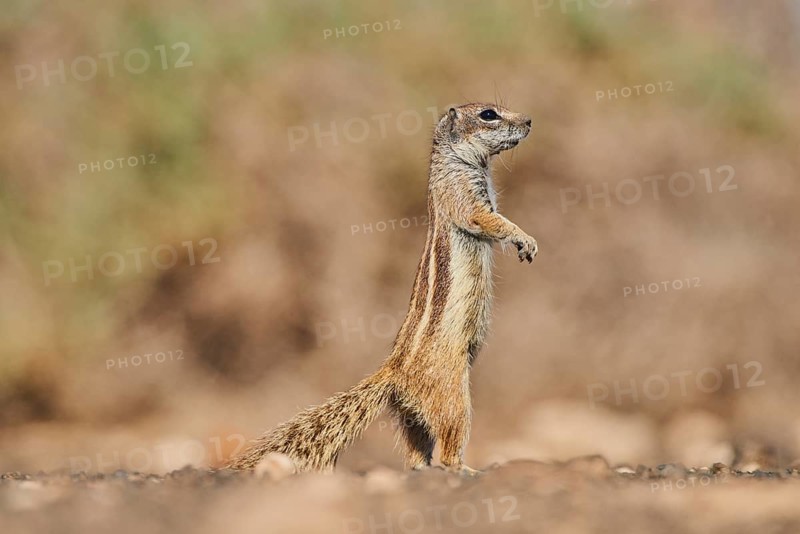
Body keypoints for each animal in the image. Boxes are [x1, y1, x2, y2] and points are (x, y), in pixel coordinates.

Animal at [227, 103, 537, 475]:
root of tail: (394, 372)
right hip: (452, 396)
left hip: (409, 414)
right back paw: (464, 469)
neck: (459, 162)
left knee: (416, 449)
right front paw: (525, 239)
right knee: (448, 445)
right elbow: (489, 220)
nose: (529, 121)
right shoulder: (463, 196)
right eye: (488, 114)